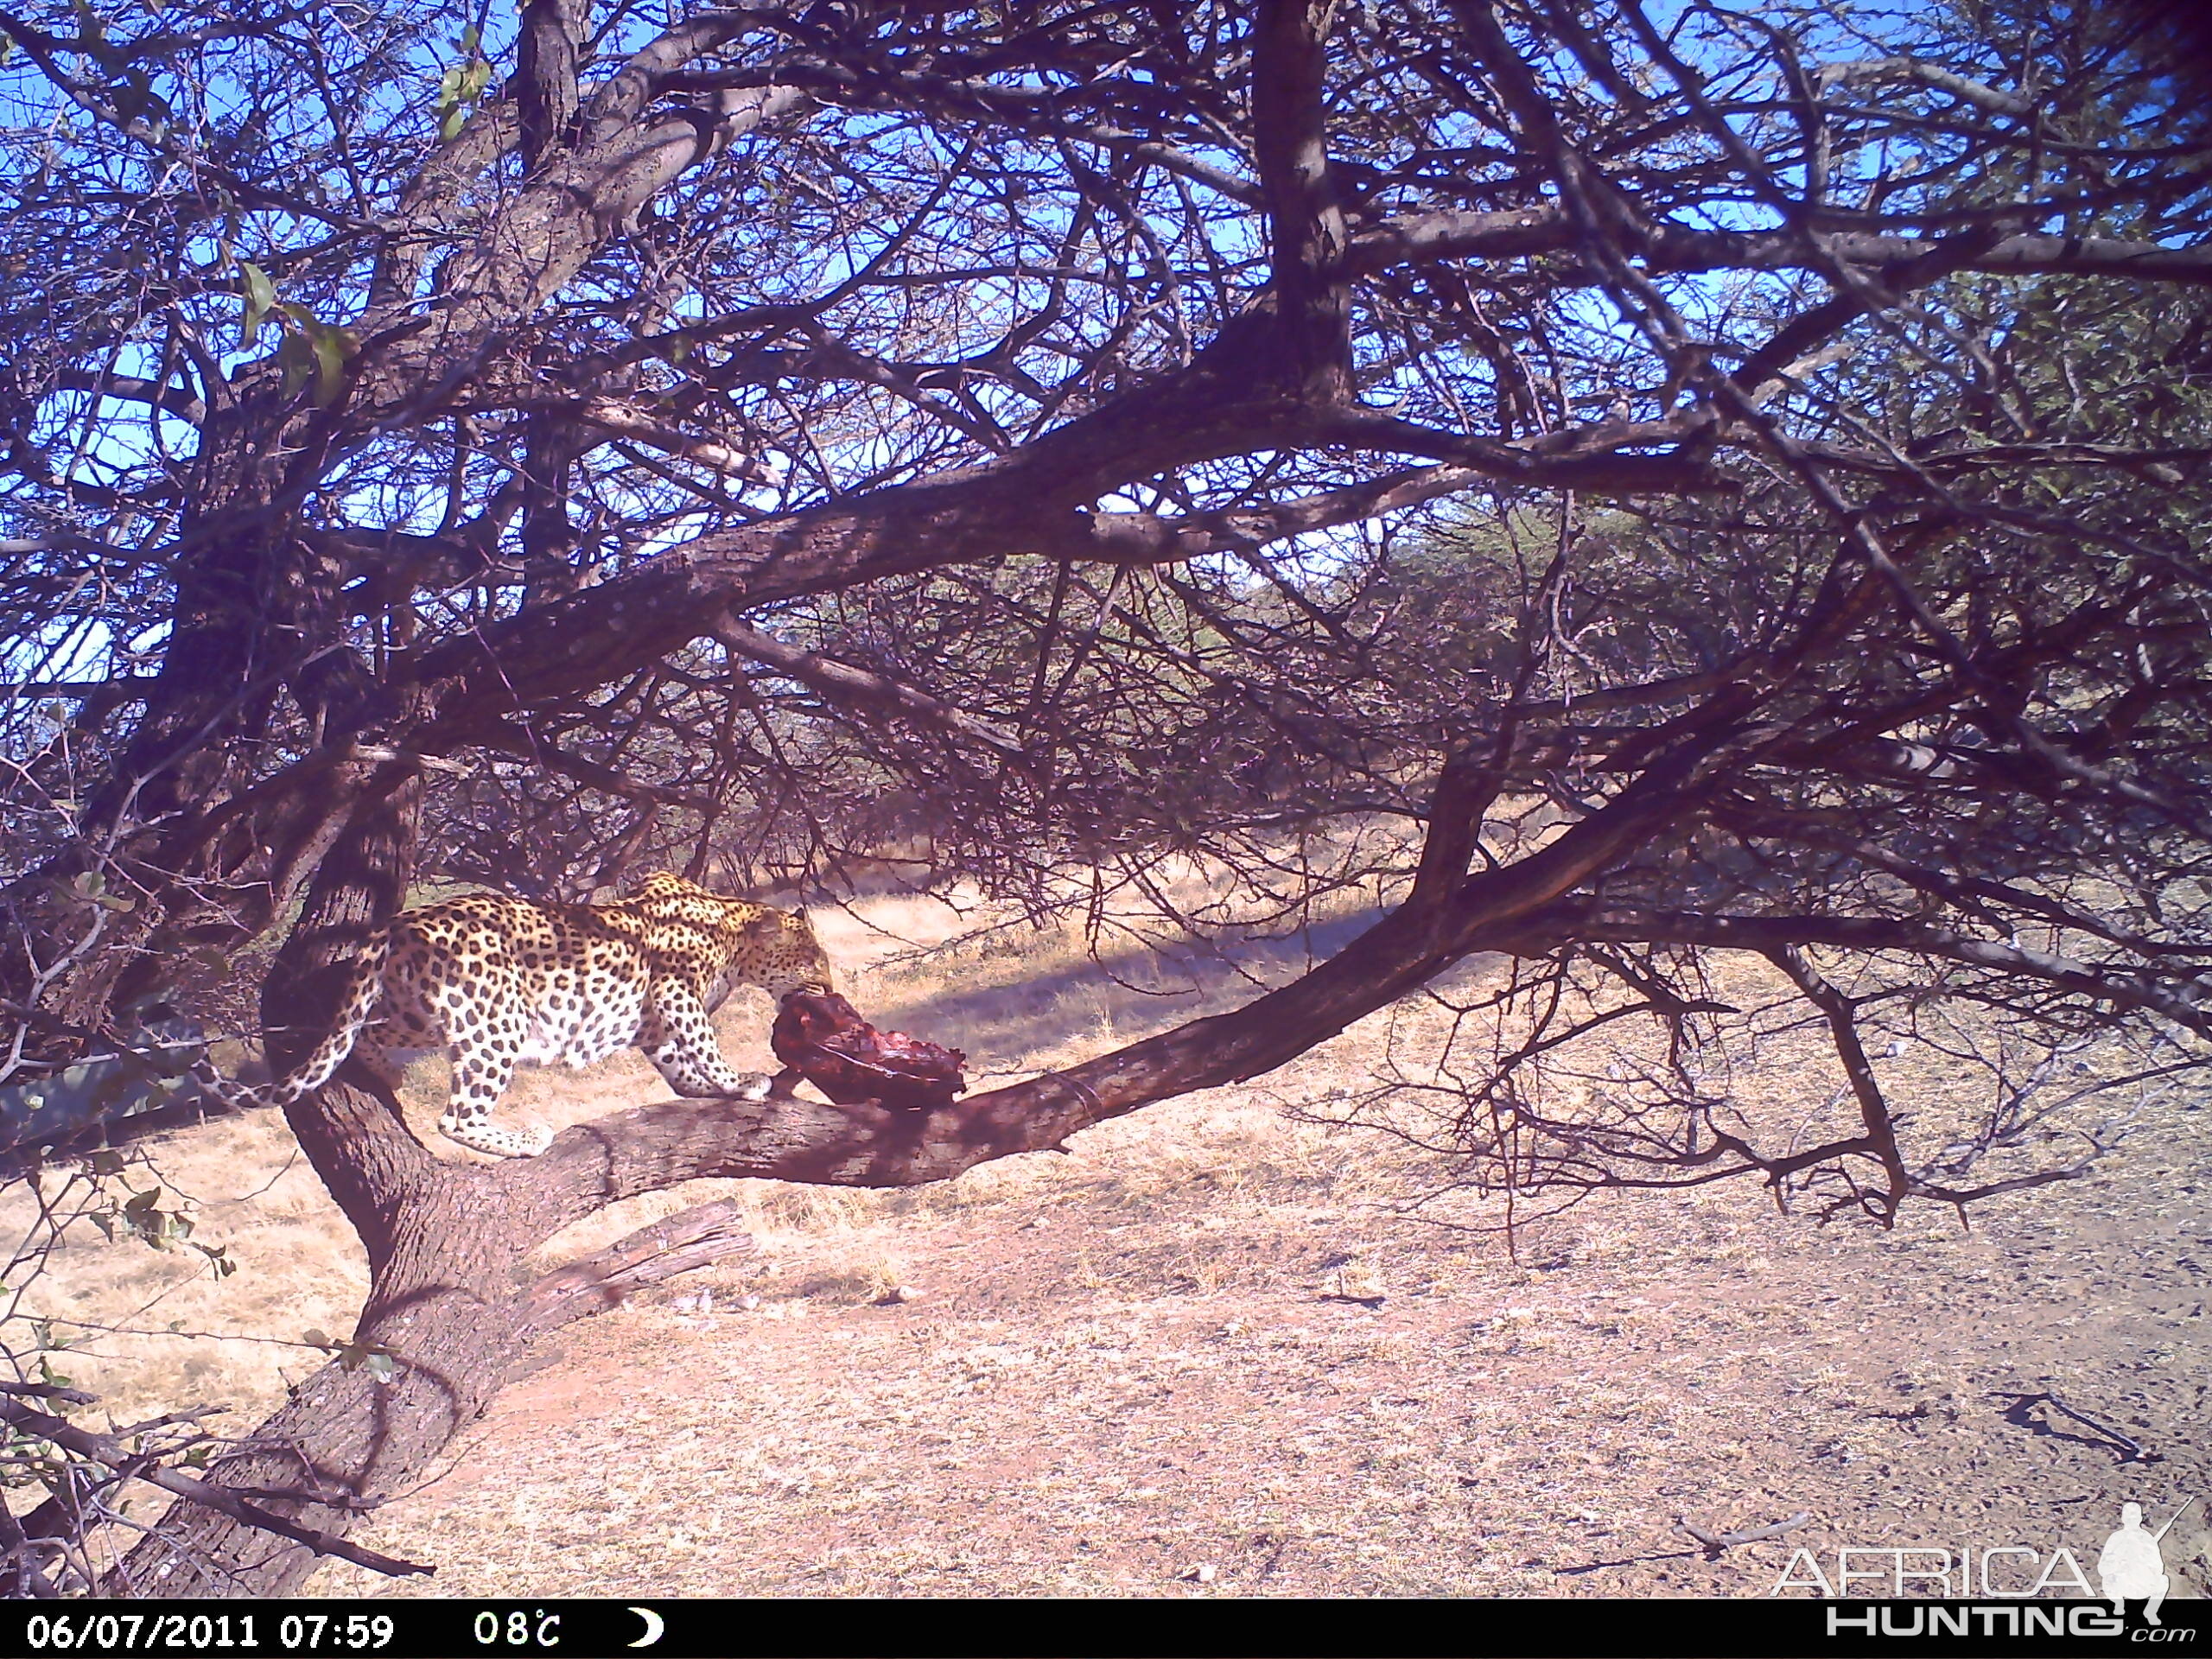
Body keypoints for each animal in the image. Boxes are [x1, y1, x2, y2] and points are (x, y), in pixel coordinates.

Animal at [253, 875, 836, 1159]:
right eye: (811, 958)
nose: (828, 987)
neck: (732, 931)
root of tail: (399, 922)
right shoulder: (676, 992)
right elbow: (704, 1044)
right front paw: (740, 1081)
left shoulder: (655, 1018)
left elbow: (678, 1061)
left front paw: (707, 1089)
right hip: (495, 1019)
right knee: (455, 1117)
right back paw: (526, 1142)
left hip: (422, 1010)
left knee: (368, 1030)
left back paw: (380, 1068)